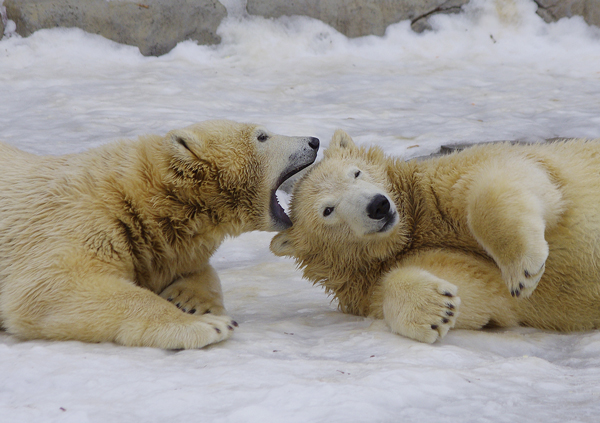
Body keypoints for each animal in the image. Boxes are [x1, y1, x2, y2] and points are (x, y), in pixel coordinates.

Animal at [1, 121, 318, 350]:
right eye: (262, 136)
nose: (314, 141)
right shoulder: (80, 219)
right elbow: (53, 287)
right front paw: (210, 325)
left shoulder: (160, 243)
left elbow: (193, 268)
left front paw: (190, 301)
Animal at [270, 130, 600, 344]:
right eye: (328, 210)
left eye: (356, 173)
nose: (378, 206)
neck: (413, 228)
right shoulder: (371, 274)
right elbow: (478, 290)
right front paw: (436, 308)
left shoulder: (440, 184)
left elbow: (506, 177)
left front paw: (522, 269)